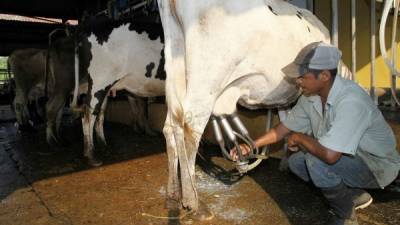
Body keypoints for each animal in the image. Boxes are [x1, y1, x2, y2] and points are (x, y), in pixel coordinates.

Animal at [156, 0, 350, 218]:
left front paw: (285, 159)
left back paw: (173, 194)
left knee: (171, 126)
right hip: (207, 75)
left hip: (175, 67)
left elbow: (286, 119)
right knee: (190, 125)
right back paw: (193, 201)